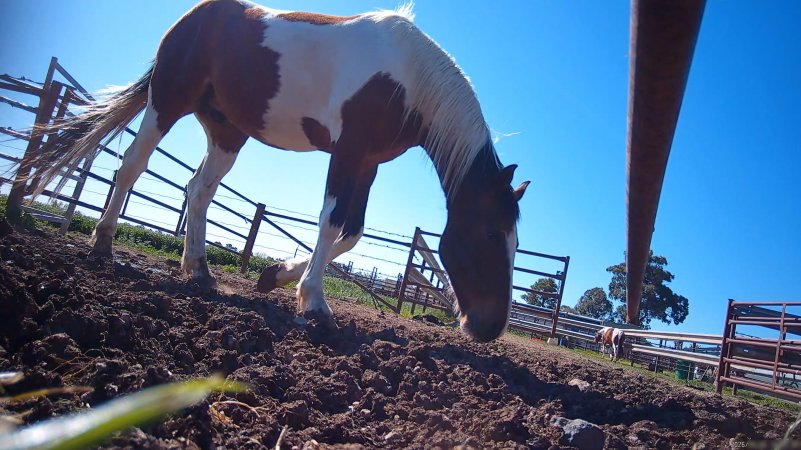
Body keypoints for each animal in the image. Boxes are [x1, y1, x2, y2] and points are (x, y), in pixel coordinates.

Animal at [31, 0, 529, 342]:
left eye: (515, 241)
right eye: (490, 234)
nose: (489, 328)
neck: (406, 79)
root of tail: (192, 17)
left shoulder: (368, 163)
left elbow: (352, 232)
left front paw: (274, 276)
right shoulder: (348, 154)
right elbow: (331, 225)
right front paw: (314, 304)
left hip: (227, 131)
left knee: (198, 189)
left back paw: (198, 270)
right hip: (167, 101)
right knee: (133, 166)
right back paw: (103, 244)